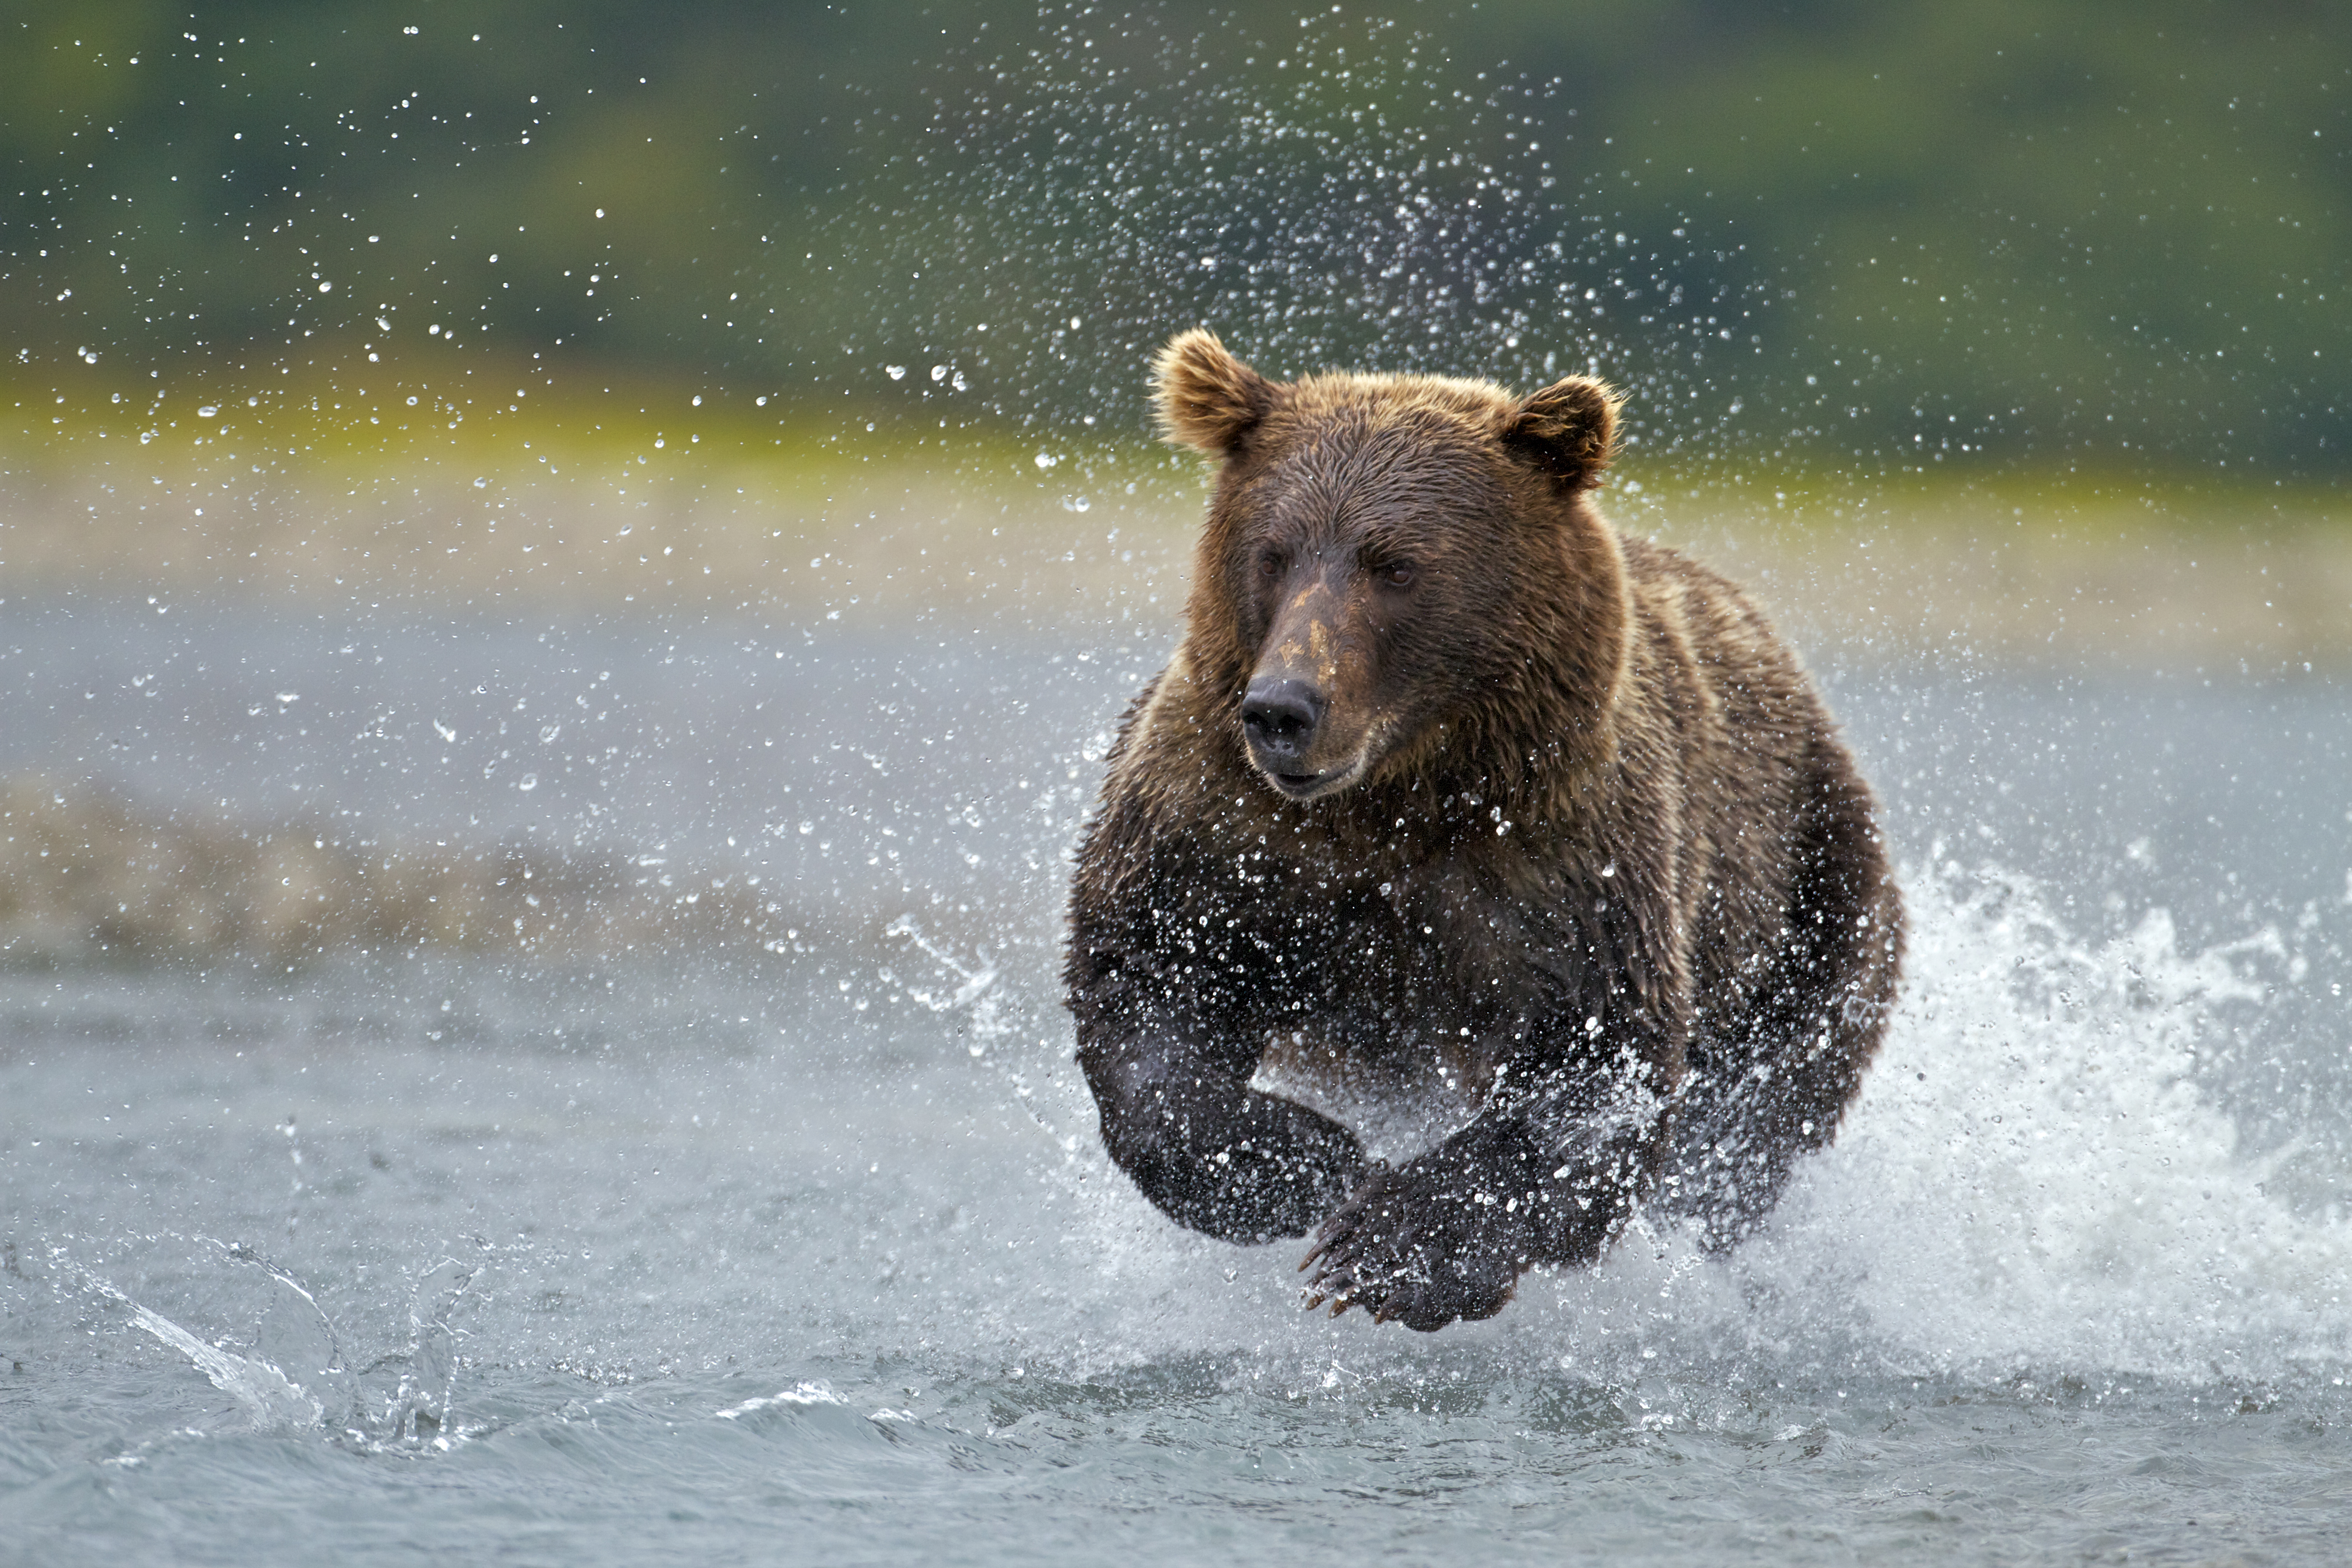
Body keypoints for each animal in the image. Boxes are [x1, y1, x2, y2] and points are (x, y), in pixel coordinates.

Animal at [1064, 329, 1904, 1331]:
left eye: (1394, 564)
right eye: (1273, 552)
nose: (1282, 710)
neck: (1401, 793)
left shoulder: (1566, 863)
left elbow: (1592, 1064)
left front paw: (1387, 1252)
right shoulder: (1226, 830)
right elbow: (1149, 976)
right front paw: (1299, 1163)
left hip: (1811, 891)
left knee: (1754, 1116)